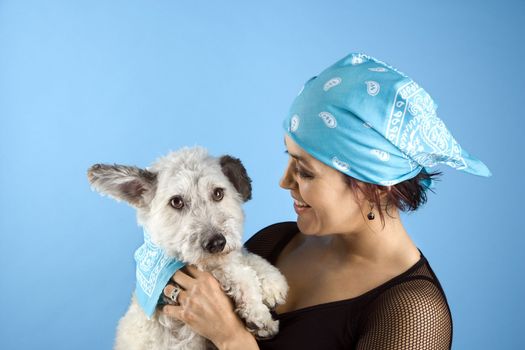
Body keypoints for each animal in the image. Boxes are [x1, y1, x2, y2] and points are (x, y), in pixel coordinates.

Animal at [88, 148, 288, 350]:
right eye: (176, 202)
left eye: (218, 193)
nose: (216, 243)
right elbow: (236, 272)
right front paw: (259, 316)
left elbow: (240, 256)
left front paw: (272, 281)